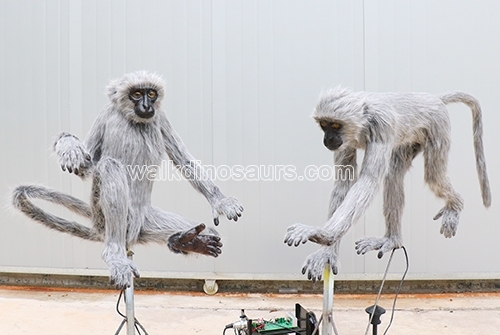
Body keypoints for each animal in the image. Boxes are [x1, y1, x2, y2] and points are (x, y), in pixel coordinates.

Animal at [12, 70, 243, 288]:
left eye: (151, 94)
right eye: (137, 94)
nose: (147, 106)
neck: (135, 121)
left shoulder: (160, 117)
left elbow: (185, 161)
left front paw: (221, 202)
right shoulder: (106, 114)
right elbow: (85, 168)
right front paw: (69, 146)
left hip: (148, 222)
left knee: (210, 233)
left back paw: (183, 242)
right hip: (105, 215)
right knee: (109, 166)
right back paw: (115, 254)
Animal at [286, 87, 492, 284]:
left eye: (336, 125)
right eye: (324, 125)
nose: (328, 139)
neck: (364, 117)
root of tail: (433, 99)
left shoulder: (381, 126)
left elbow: (368, 180)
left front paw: (322, 233)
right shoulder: (346, 142)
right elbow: (343, 185)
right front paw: (327, 250)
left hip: (436, 126)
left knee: (434, 176)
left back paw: (455, 205)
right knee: (394, 174)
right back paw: (393, 240)